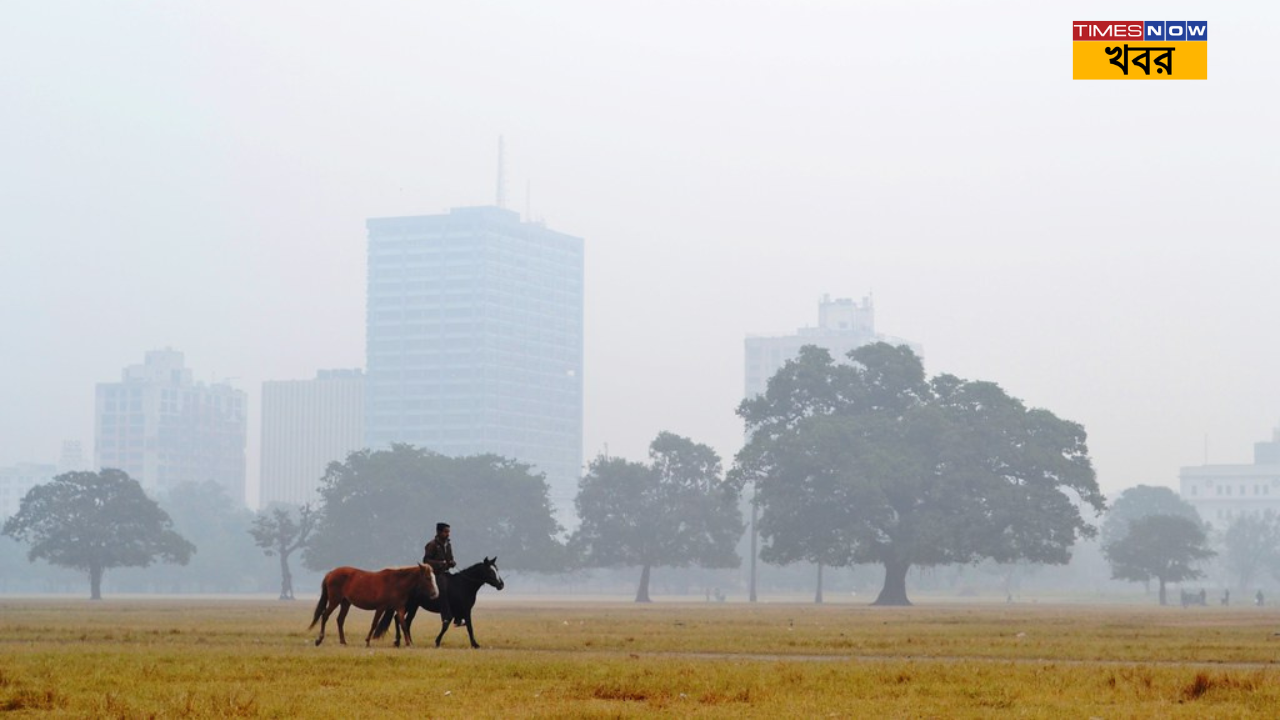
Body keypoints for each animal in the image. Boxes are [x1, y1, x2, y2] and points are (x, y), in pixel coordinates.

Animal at [307, 561, 437, 645]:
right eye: (427, 578)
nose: (435, 594)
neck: (396, 583)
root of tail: (331, 573)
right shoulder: (381, 607)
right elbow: (374, 624)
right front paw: (368, 641)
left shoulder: (399, 608)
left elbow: (403, 624)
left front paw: (408, 642)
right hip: (335, 601)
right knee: (325, 616)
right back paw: (319, 639)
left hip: (345, 603)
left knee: (340, 620)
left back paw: (343, 641)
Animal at [373, 550, 501, 648]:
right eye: (490, 571)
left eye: (497, 569)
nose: (501, 584)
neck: (462, 585)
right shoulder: (455, 611)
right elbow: (448, 624)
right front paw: (437, 642)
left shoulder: (465, 610)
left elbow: (469, 626)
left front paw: (475, 644)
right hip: (409, 605)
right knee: (399, 618)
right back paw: (398, 641)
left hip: (414, 606)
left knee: (404, 620)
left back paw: (407, 641)